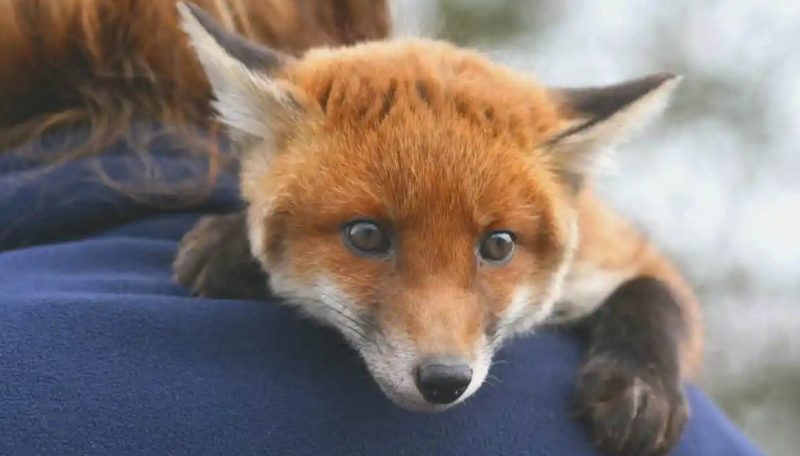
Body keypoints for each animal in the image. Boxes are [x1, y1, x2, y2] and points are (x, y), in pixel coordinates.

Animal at [0, 1, 703, 455]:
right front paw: (233, 246)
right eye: (367, 236)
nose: (444, 381)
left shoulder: (617, 253)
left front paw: (640, 387)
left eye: (498, 245)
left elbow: (657, 295)